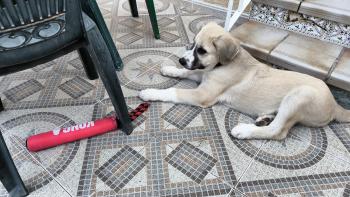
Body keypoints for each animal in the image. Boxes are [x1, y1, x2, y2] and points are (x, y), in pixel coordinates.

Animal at [139, 22, 350, 140]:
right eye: (192, 45)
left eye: (202, 50)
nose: (182, 60)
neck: (221, 65)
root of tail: (335, 105)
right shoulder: (203, 75)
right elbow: (186, 73)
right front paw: (170, 69)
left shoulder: (203, 94)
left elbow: (174, 92)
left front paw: (150, 92)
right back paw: (264, 118)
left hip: (299, 97)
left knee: (278, 131)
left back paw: (245, 131)